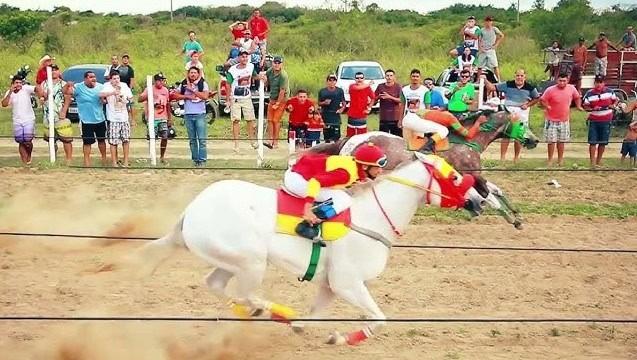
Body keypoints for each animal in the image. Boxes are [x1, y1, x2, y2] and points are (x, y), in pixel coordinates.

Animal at [128, 152, 468, 346]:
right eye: (454, 176)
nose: (476, 200)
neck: (371, 217)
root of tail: (193, 209)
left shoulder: (331, 285)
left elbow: (314, 317)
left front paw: (326, 333)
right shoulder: (347, 283)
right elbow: (378, 319)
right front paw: (341, 337)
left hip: (230, 259)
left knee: (216, 284)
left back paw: (260, 311)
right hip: (252, 261)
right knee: (248, 292)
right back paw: (272, 310)